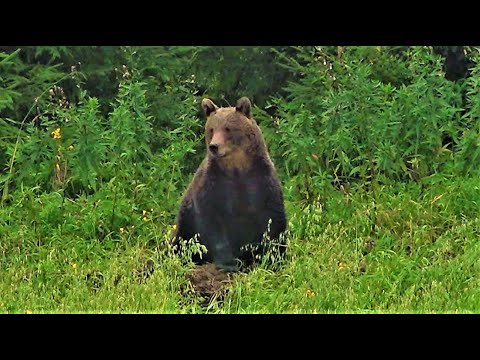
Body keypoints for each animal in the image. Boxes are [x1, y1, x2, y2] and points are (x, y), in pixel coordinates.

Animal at [172, 97, 284, 272]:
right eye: (211, 129)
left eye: (228, 128)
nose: (214, 146)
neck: (236, 167)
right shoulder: (214, 185)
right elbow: (212, 224)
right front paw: (228, 263)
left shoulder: (260, 181)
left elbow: (273, 219)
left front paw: (272, 258)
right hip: (185, 226)